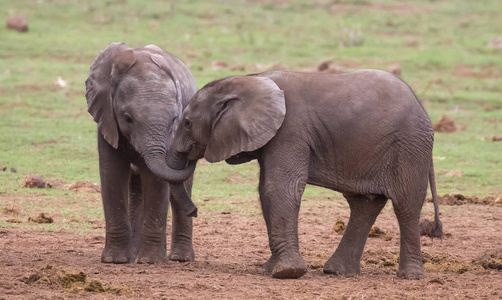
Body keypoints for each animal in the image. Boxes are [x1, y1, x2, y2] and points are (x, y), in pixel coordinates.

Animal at [85, 42, 197, 264]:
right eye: (127, 118)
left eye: (175, 119)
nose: (195, 211)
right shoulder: (106, 119)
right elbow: (112, 174)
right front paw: (115, 260)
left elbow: (157, 181)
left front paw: (150, 261)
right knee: (136, 190)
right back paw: (133, 255)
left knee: (180, 190)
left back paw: (180, 258)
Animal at [163, 69, 442, 278]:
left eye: (187, 123)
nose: (195, 210)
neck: (249, 79)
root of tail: (422, 108)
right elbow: (266, 190)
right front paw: (270, 269)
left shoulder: (290, 129)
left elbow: (279, 187)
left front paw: (287, 272)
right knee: (364, 204)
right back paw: (337, 272)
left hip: (409, 146)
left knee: (406, 204)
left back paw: (410, 276)